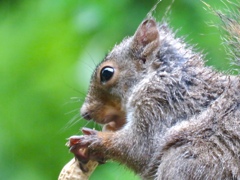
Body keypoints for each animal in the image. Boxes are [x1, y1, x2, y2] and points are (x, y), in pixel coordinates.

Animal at [67, 1, 240, 180]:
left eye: (106, 73)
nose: (85, 113)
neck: (160, 75)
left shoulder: (159, 105)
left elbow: (139, 149)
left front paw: (92, 140)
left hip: (188, 161)